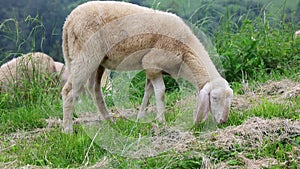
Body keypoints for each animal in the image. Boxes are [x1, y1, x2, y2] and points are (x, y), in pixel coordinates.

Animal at [62, 1, 233, 133]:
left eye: (230, 99)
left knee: (94, 88)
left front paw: (140, 118)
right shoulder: (152, 63)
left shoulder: (152, 70)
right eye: (214, 98)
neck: (186, 52)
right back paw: (68, 130)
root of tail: (68, 21)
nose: (223, 121)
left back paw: (110, 121)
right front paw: (161, 121)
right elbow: (161, 92)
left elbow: (148, 92)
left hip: (99, 61)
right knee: (69, 91)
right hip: (86, 55)